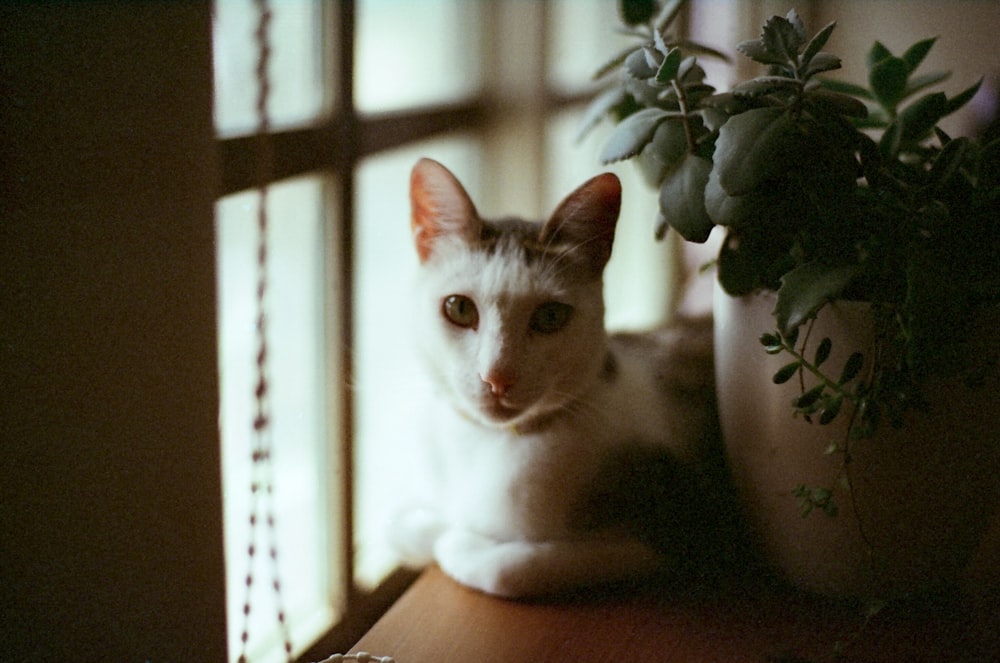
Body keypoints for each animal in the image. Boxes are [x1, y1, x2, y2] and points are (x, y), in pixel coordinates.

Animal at [392, 158, 736, 600]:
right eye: (459, 308)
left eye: (550, 317)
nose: (497, 377)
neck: (491, 443)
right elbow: (397, 524)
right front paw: (432, 526)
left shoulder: (686, 526)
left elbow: (506, 568)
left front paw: (458, 539)